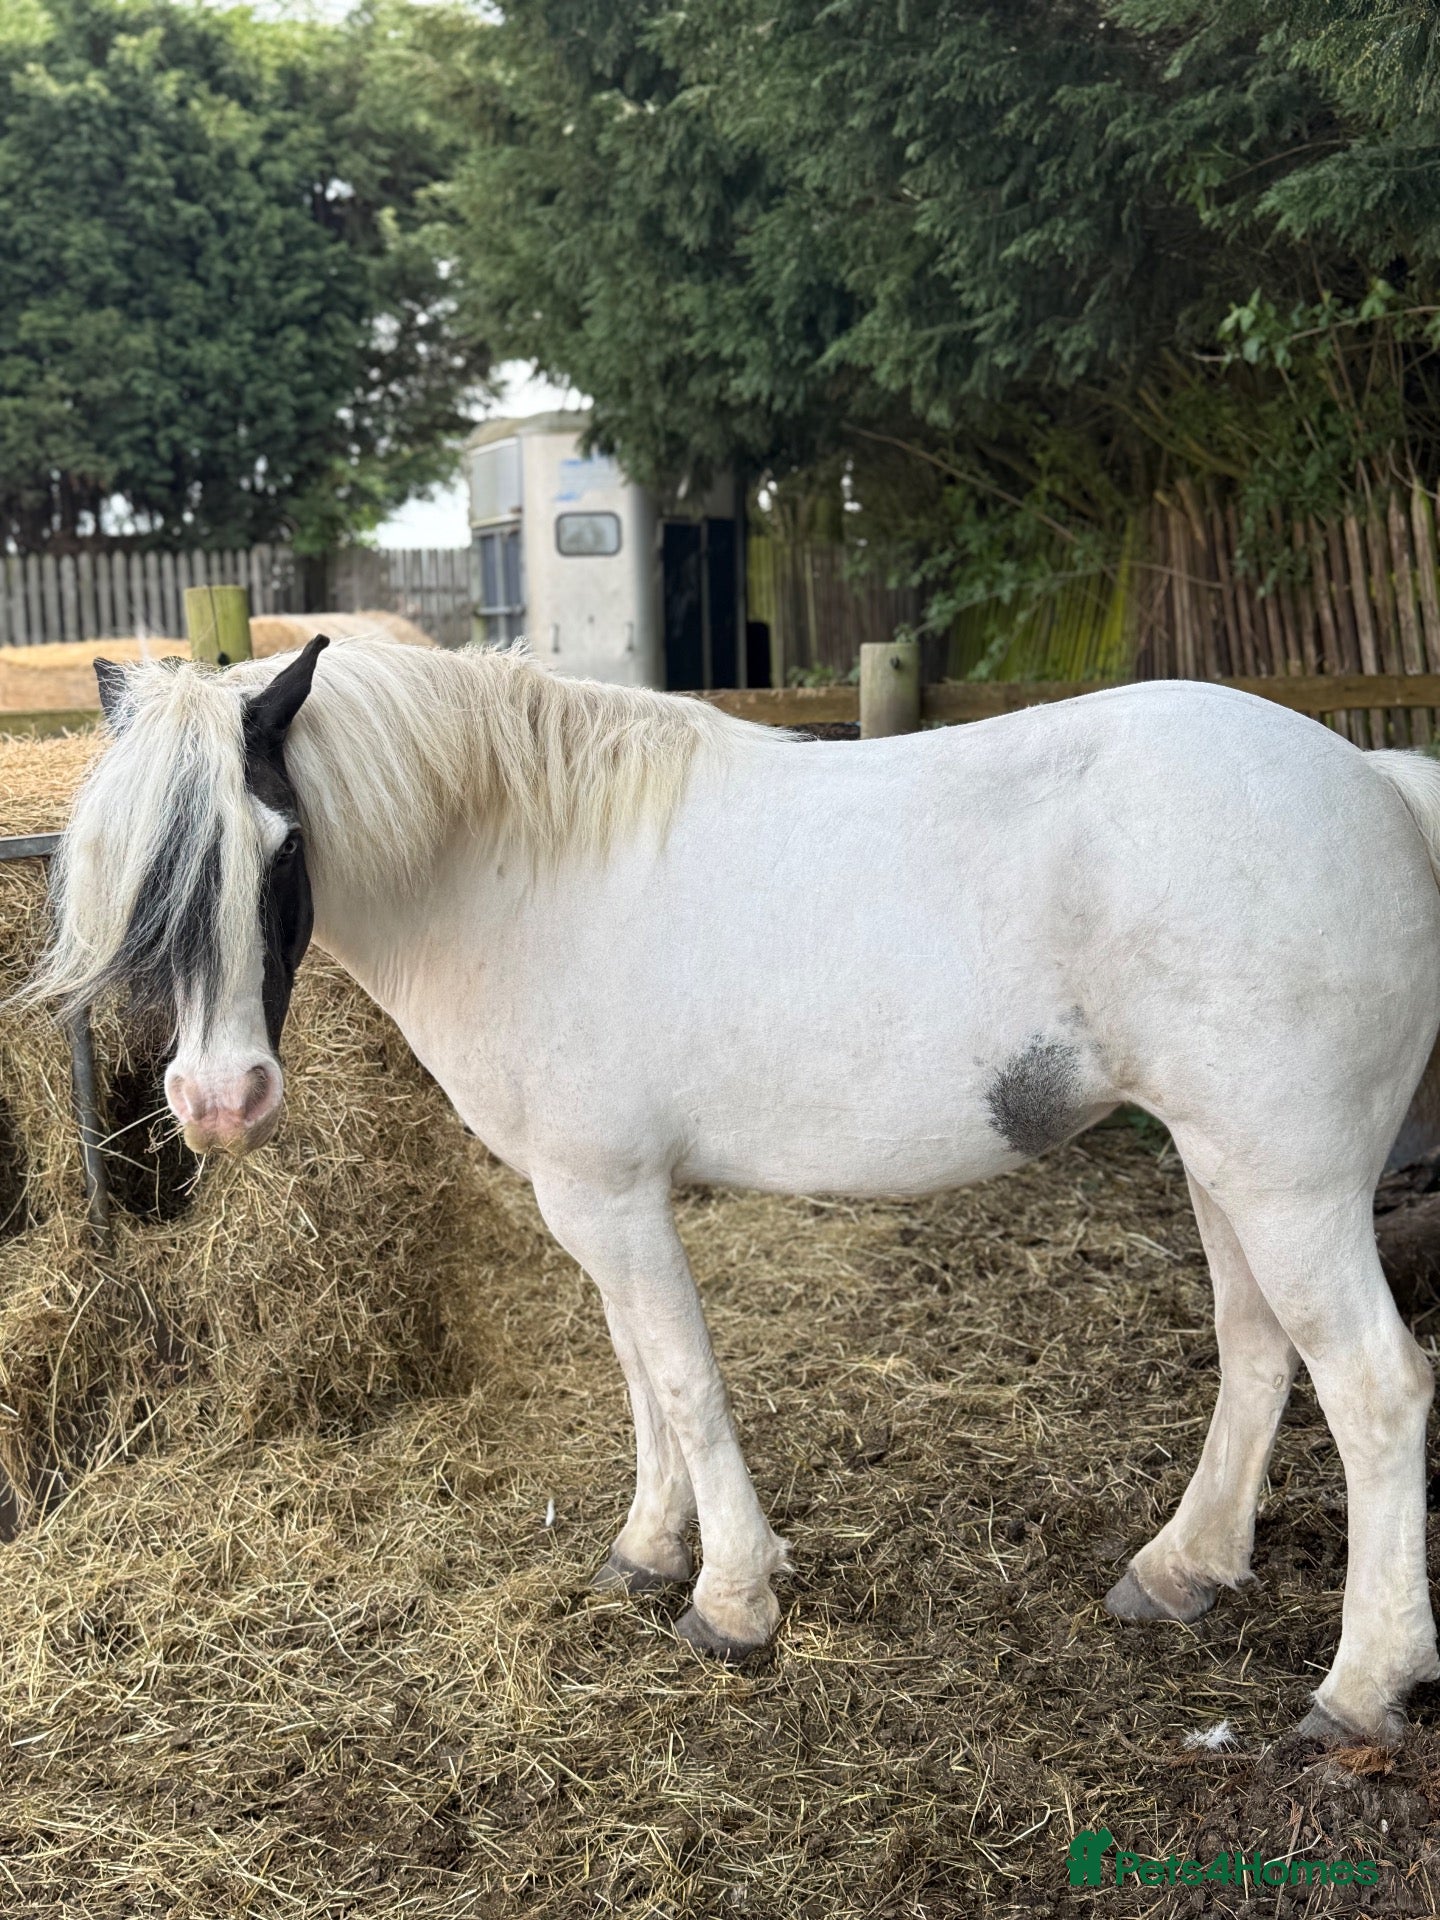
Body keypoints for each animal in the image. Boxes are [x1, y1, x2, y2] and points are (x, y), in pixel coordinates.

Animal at [29, 633, 1440, 1747]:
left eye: (279, 845)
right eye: (136, 875)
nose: (220, 1103)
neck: (516, 869)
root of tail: (1375, 782)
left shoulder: (611, 1199)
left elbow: (687, 1380)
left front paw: (732, 1600)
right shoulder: (594, 1198)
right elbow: (640, 1377)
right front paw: (648, 1552)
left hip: (1290, 1186)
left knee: (1375, 1388)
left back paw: (1360, 1688)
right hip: (1223, 1169)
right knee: (1256, 1352)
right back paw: (1185, 1570)